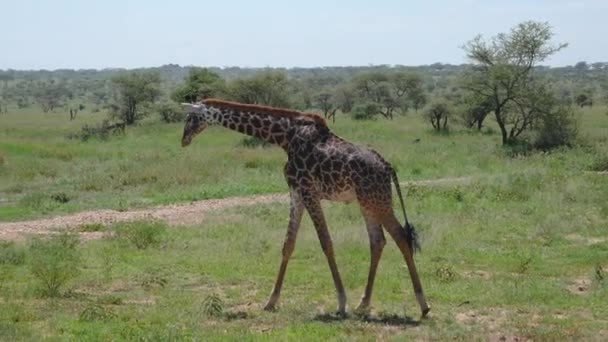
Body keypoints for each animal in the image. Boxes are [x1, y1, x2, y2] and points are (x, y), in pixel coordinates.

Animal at [182, 99, 432, 318]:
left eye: (191, 117)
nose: (183, 139)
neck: (285, 137)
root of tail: (388, 167)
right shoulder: (296, 192)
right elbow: (288, 244)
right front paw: (271, 301)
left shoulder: (308, 191)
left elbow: (326, 242)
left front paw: (341, 303)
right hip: (367, 203)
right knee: (378, 241)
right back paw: (363, 304)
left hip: (378, 201)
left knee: (400, 237)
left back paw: (423, 305)